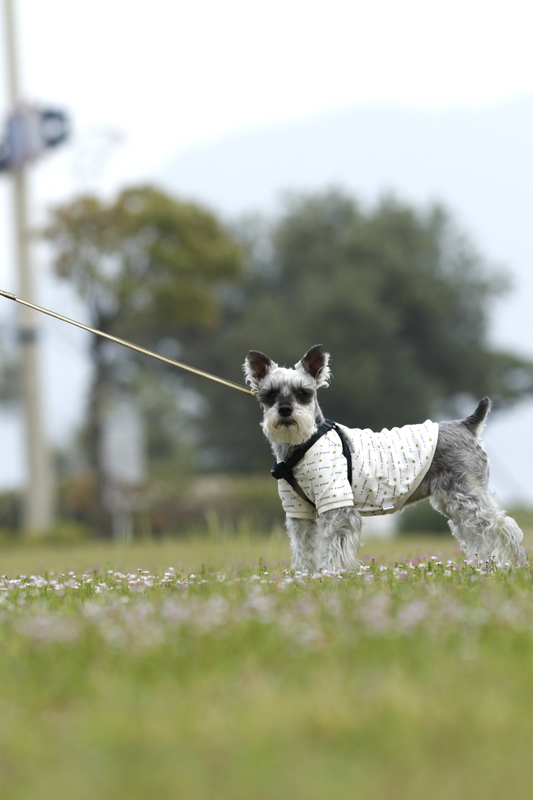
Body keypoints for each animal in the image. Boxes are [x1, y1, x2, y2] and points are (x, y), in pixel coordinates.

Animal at [243, 342, 524, 568]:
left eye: (303, 393)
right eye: (270, 394)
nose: (285, 410)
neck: (303, 444)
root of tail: (467, 424)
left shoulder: (337, 506)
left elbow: (334, 548)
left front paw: (331, 575)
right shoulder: (298, 513)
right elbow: (304, 549)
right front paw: (304, 577)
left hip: (467, 497)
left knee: (501, 527)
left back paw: (508, 564)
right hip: (453, 502)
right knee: (478, 534)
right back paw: (483, 565)